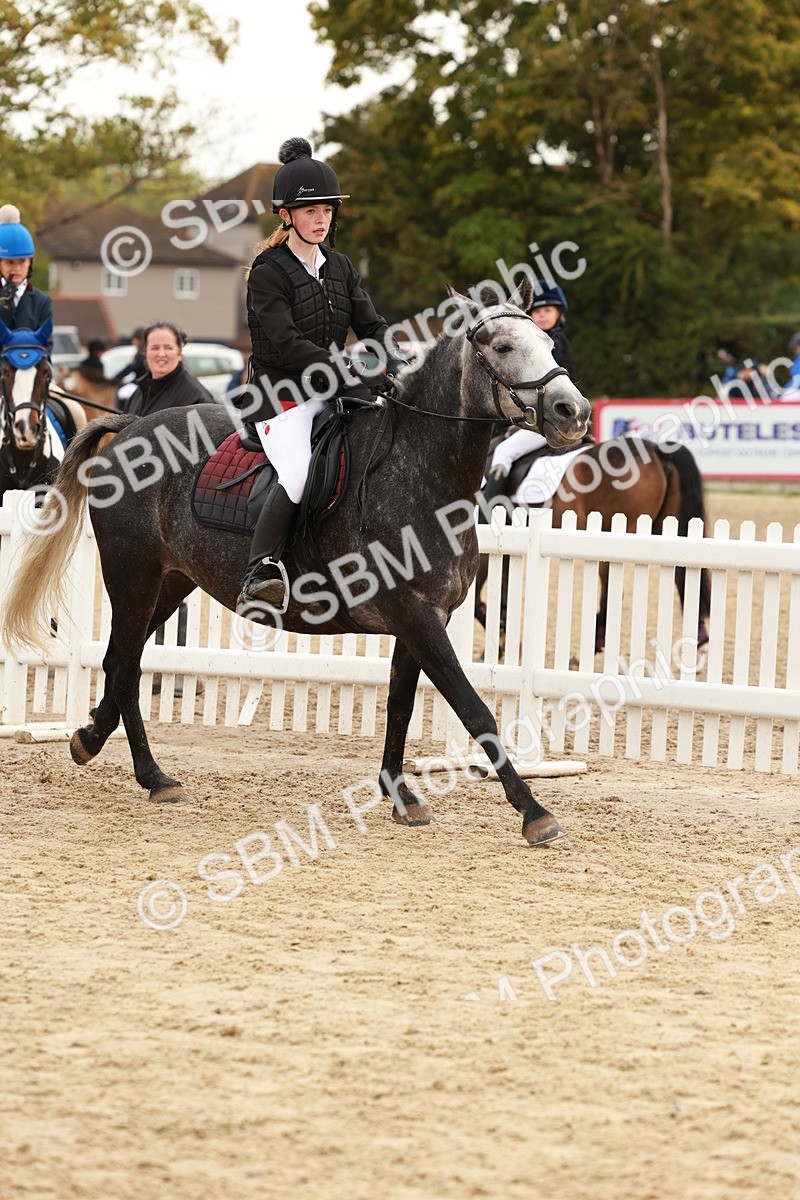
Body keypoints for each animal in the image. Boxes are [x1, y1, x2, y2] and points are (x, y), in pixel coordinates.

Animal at [474, 434, 711, 652]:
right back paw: (699, 636)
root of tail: (656, 450)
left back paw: (596, 643)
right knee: (683, 574)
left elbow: (477, 598)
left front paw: (499, 638)